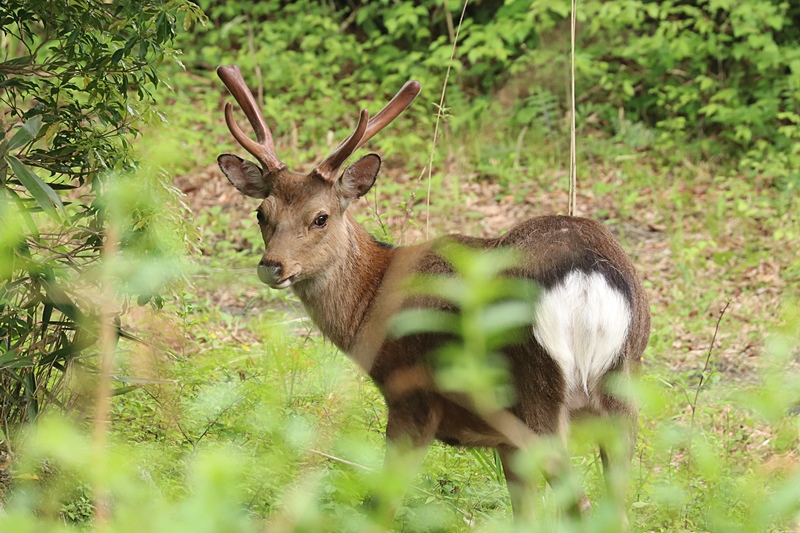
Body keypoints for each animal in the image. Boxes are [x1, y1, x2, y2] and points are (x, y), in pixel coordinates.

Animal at [214, 63, 648, 524]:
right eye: (262, 213)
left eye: (320, 217)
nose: (272, 266)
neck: (373, 300)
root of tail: (586, 279)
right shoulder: (504, 440)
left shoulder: (412, 397)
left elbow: (384, 502)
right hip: (623, 382)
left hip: (535, 385)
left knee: (582, 504)